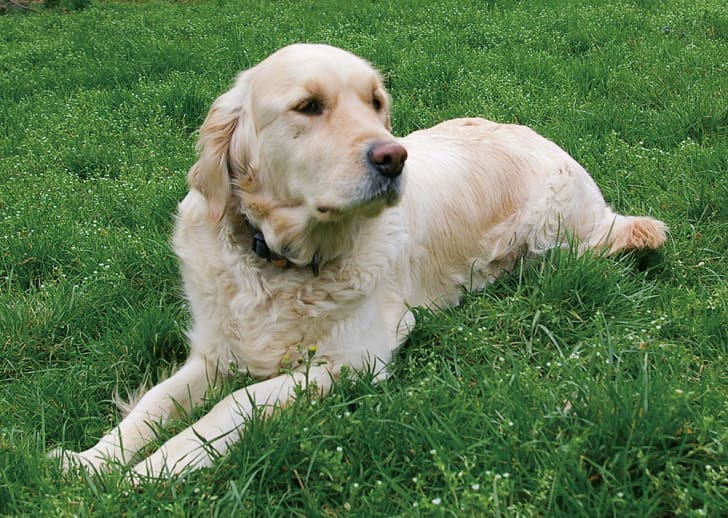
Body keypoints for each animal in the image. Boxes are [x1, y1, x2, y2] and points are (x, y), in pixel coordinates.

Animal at [48, 43, 668, 480]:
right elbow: (154, 405)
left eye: (376, 102)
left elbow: (234, 406)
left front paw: (153, 472)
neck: (281, 263)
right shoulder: (215, 351)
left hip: (553, 233)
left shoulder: (354, 358)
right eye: (308, 107)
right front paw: (91, 462)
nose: (394, 157)